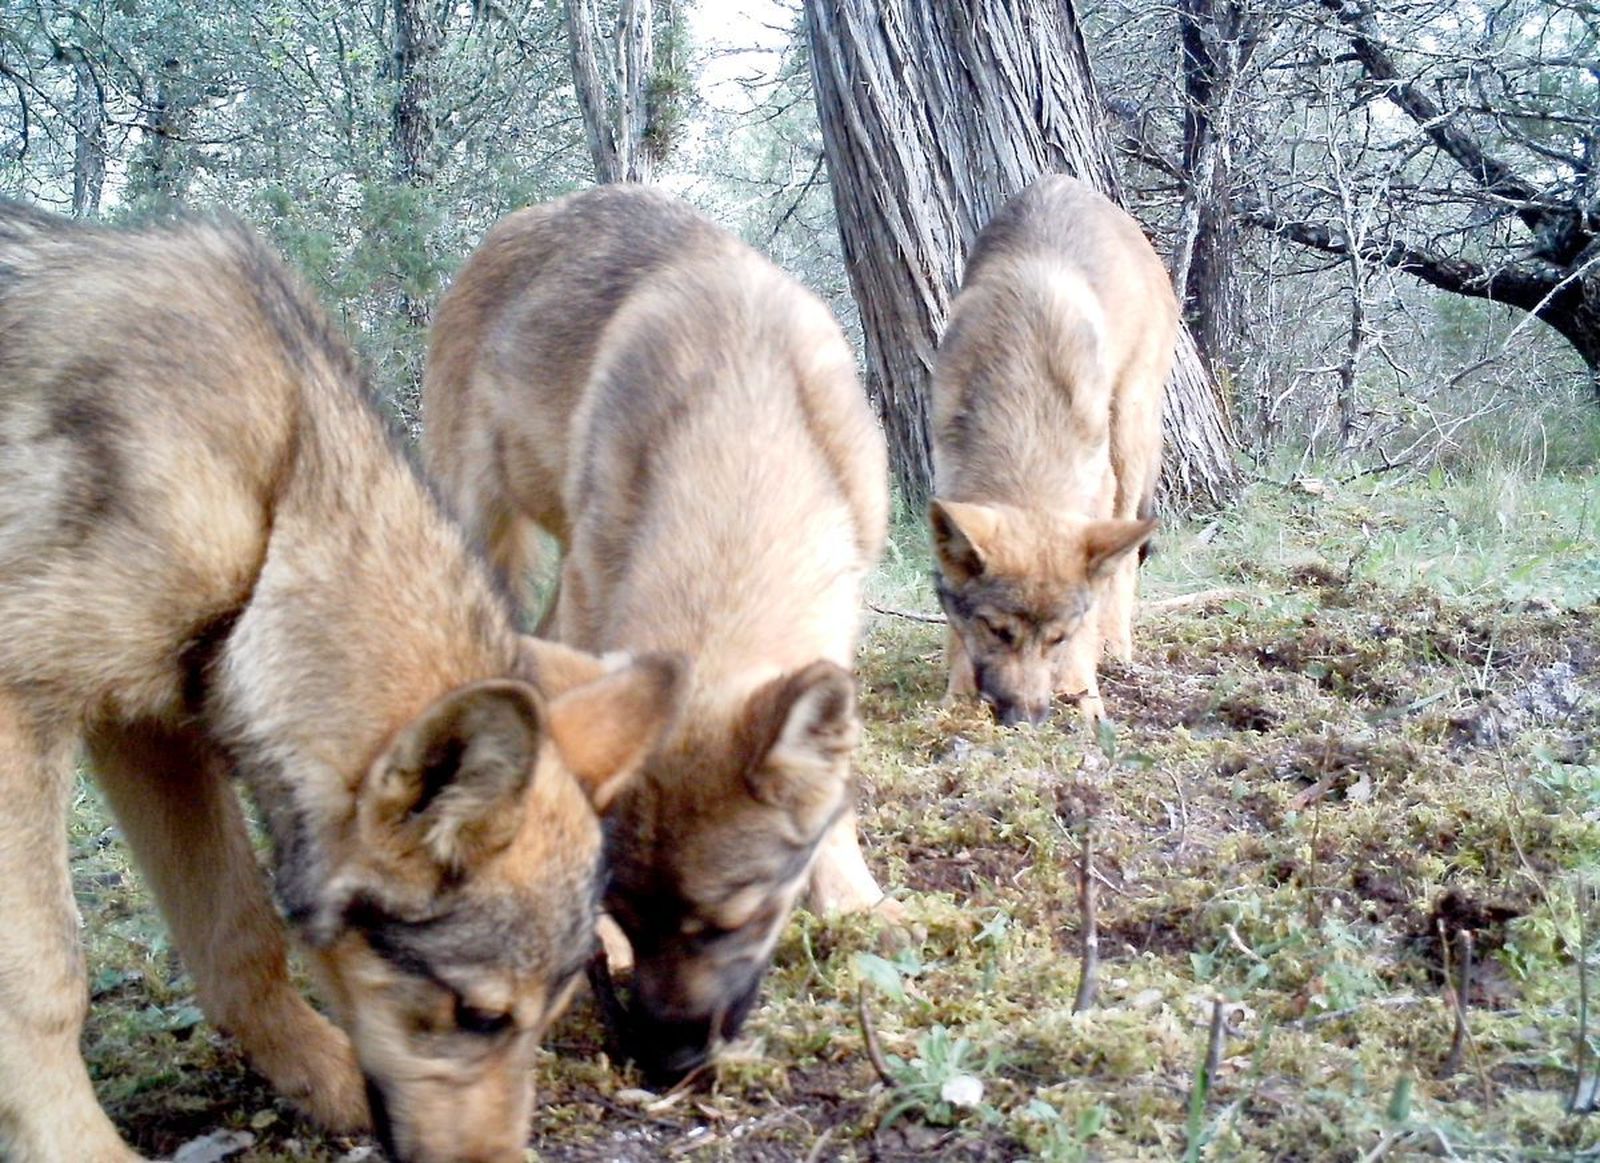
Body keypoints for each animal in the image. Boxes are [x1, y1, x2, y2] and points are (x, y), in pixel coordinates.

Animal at [0, 202, 686, 1163]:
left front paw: (322, 1077)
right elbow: (44, 980)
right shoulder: (22, 699)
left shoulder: (152, 724)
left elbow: (240, 935)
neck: (278, 497)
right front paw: (80, 1150)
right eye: (478, 1015)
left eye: (548, 1018)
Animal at [929, 175, 1177, 726]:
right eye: (998, 631)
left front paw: (1085, 696)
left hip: (1128, 435)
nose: (1025, 718)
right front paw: (957, 698)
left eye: (1057, 638)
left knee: (1122, 563)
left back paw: (1116, 648)